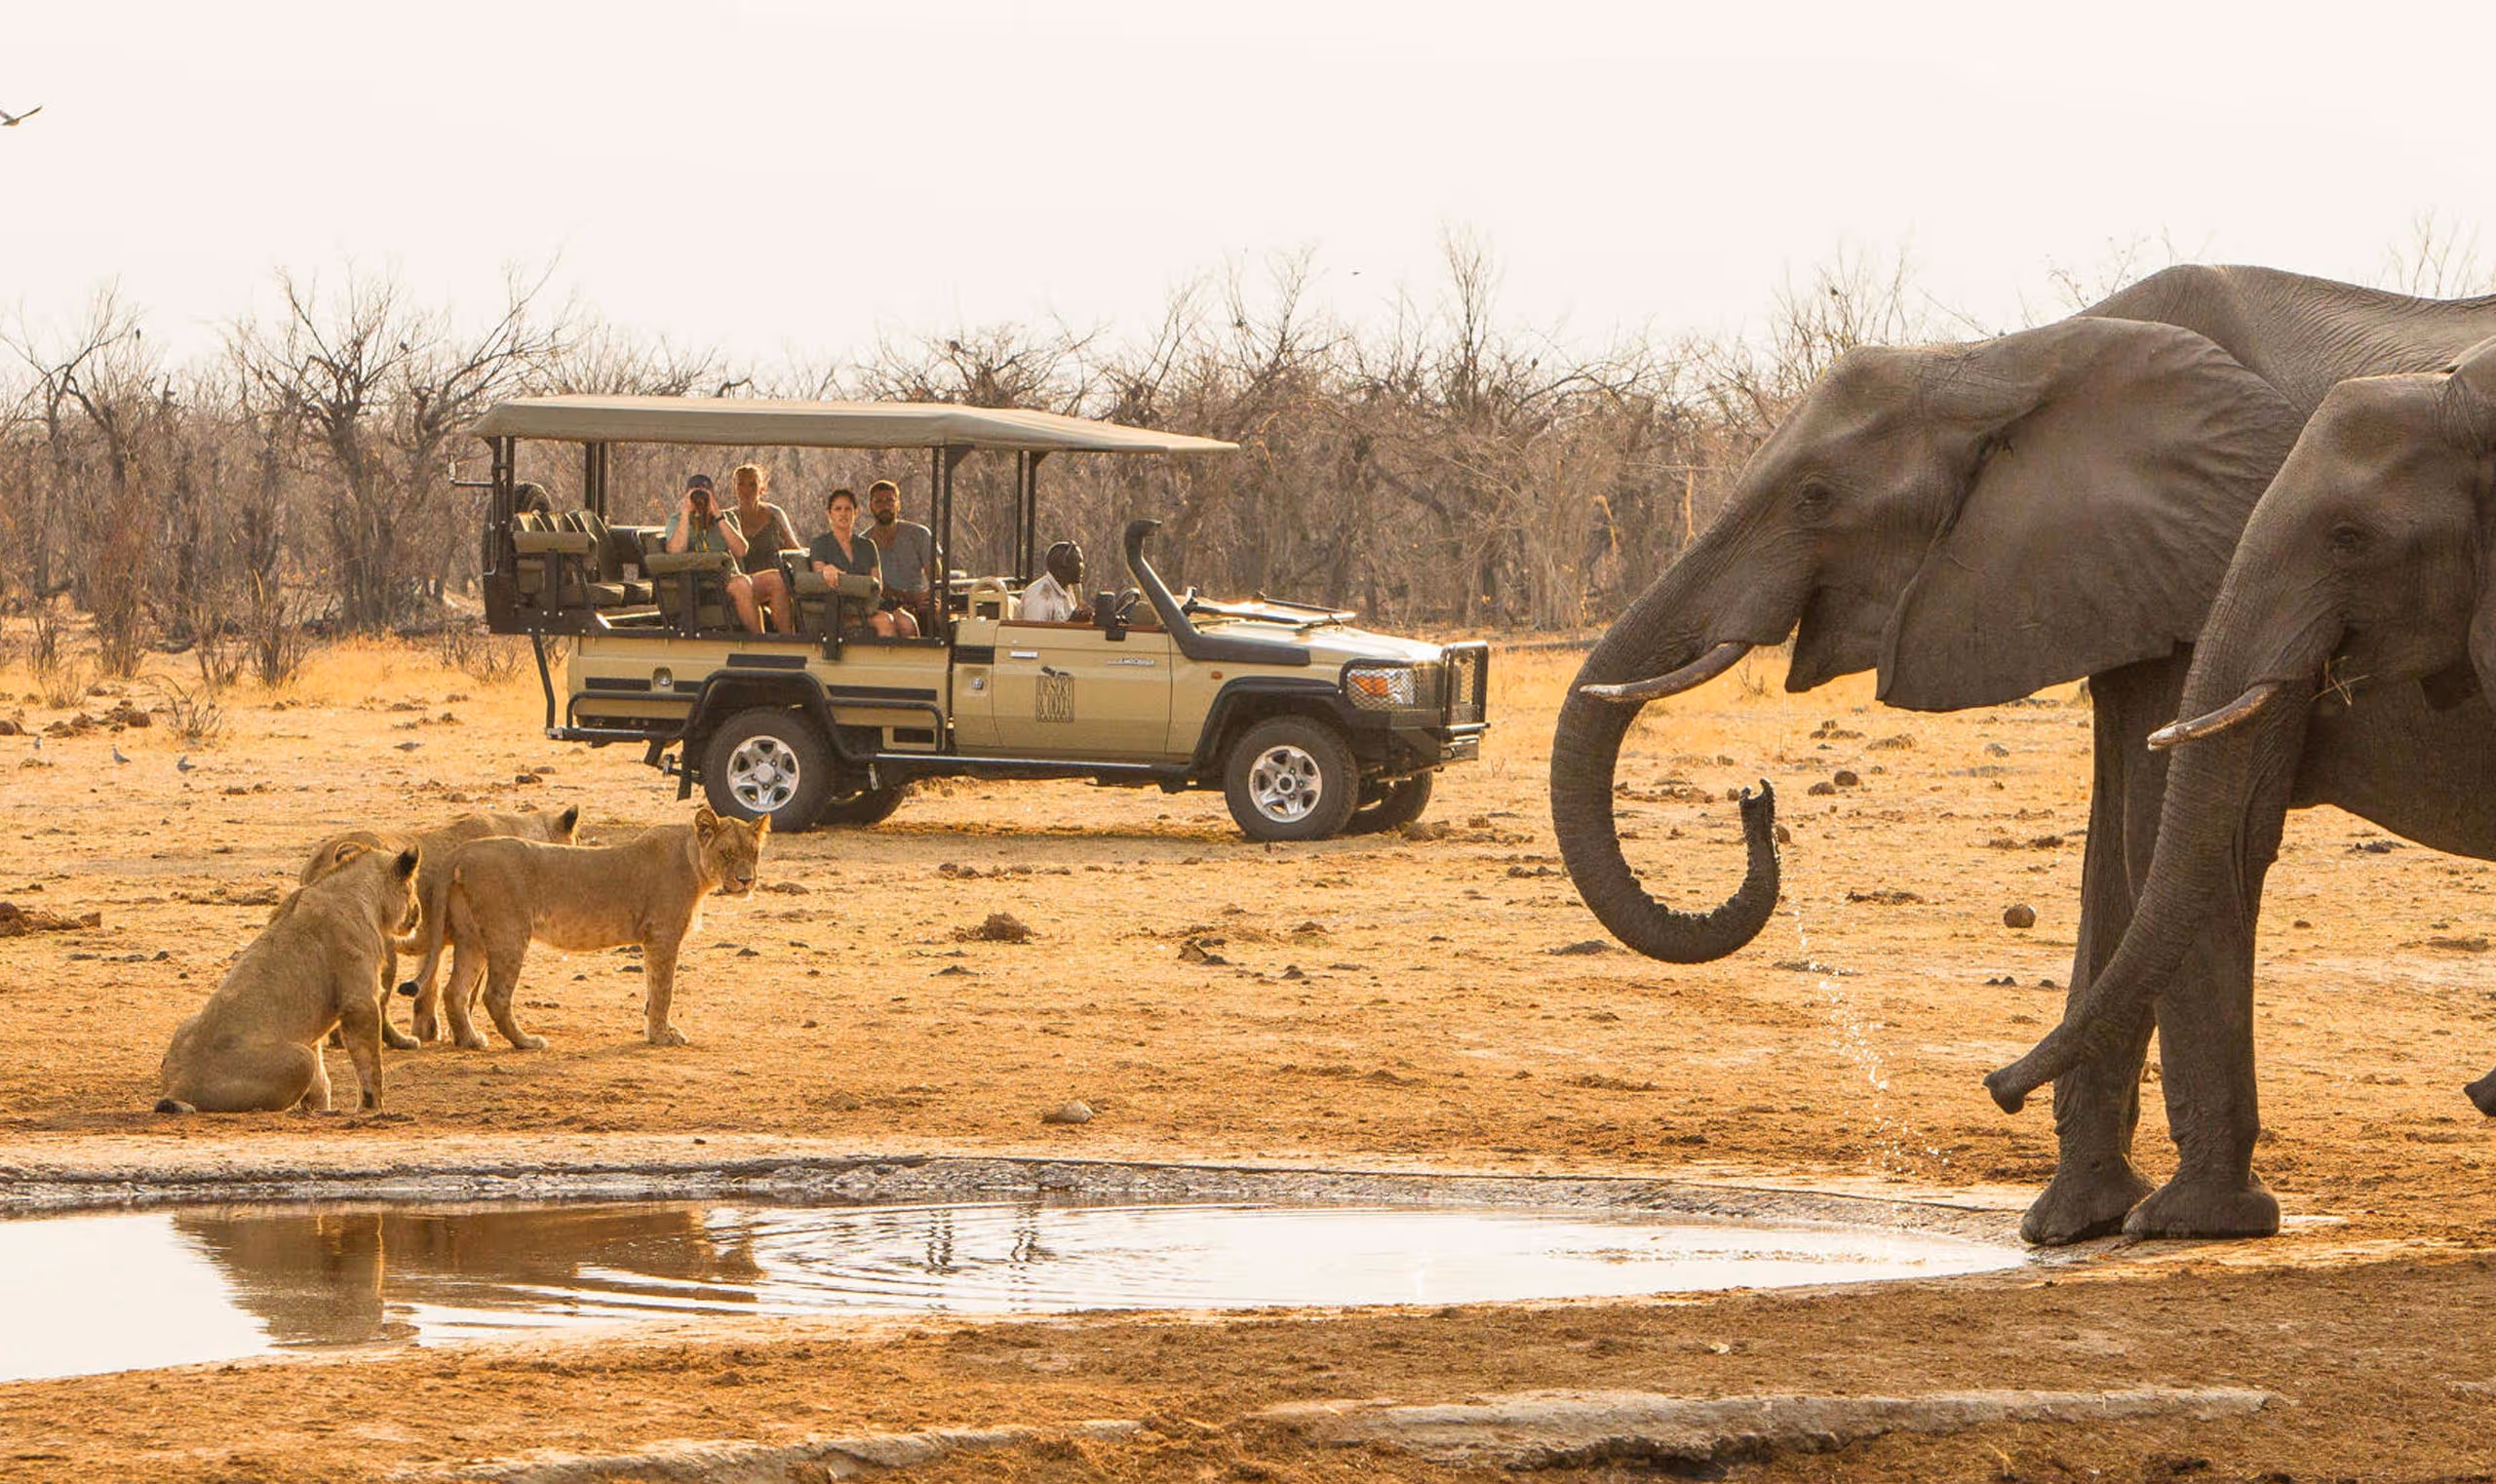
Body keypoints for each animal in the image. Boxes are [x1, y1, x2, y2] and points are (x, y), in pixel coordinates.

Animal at [158, 842, 422, 1114]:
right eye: (413, 886)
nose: (418, 913)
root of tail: (178, 1086)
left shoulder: (314, 1029)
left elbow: (321, 1081)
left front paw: (320, 1109)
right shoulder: (360, 1003)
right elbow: (370, 1065)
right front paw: (373, 1108)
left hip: (188, 1023)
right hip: (300, 1059)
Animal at [300, 806, 581, 1049]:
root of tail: (323, 857)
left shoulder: (437, 942)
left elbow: (428, 987)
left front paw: (428, 1031)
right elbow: (466, 993)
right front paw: (461, 1035)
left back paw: (339, 1038)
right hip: (383, 949)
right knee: (379, 1002)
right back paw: (401, 1042)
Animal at [397, 805, 766, 1050]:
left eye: (754, 852)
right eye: (726, 853)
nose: (746, 880)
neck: (694, 861)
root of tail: (461, 851)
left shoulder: (653, 939)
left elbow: (652, 989)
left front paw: (655, 1031)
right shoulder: (662, 935)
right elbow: (663, 989)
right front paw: (663, 1036)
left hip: (472, 937)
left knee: (454, 991)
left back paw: (470, 1040)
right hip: (509, 932)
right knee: (495, 995)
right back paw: (527, 1042)